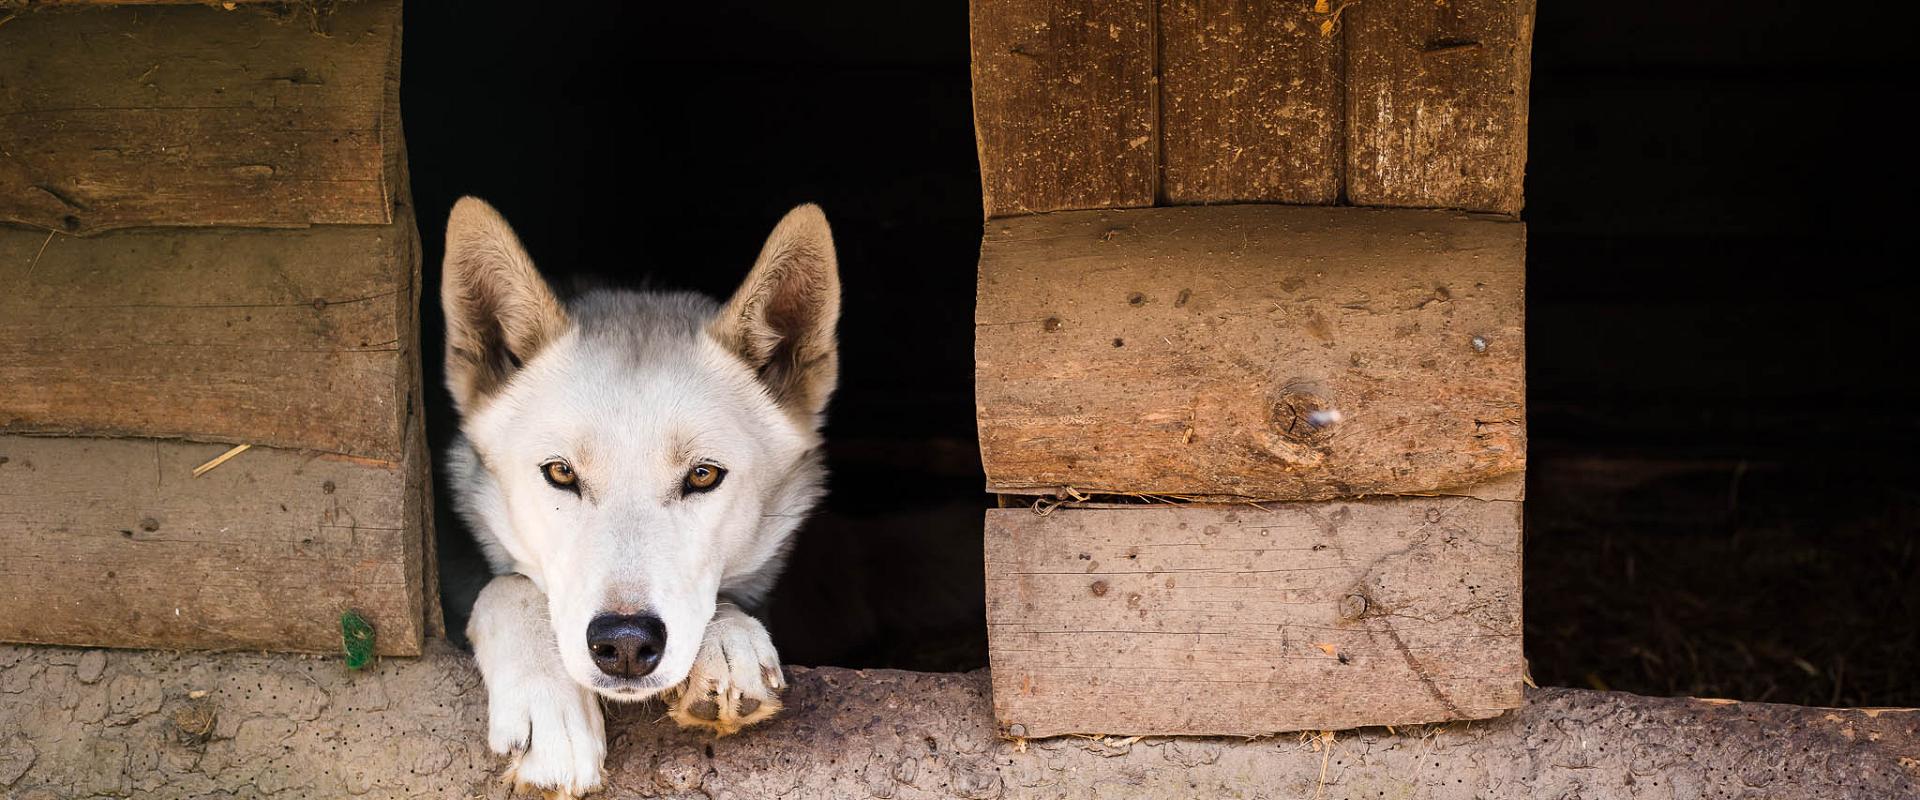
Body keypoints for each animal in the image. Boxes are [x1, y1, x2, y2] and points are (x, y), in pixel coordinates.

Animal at [445, 196, 844, 794]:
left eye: (702, 476)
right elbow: (507, 585)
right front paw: (550, 706)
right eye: (560, 473)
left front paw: (726, 641)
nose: (626, 643)